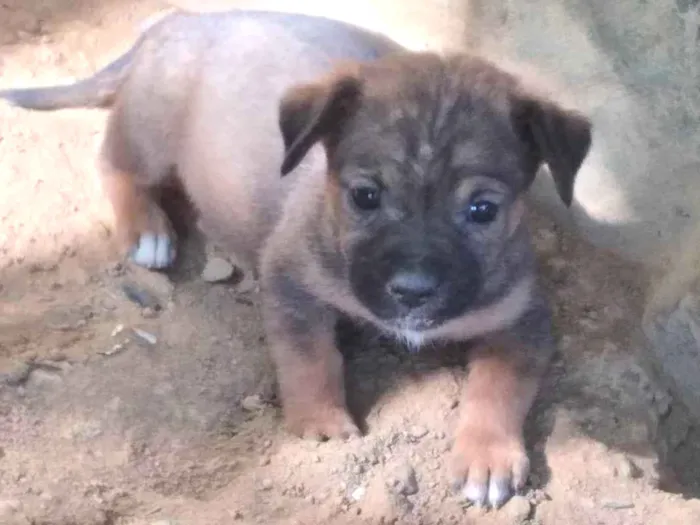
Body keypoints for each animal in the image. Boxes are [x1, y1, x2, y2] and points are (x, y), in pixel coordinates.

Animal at [0, 8, 592, 510]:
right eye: (365, 196)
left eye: (482, 209)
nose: (412, 291)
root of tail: (184, 19)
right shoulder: (291, 282)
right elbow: (311, 358)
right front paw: (321, 423)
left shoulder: (521, 319)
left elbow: (498, 386)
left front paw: (488, 456)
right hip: (151, 129)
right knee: (113, 163)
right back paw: (147, 229)